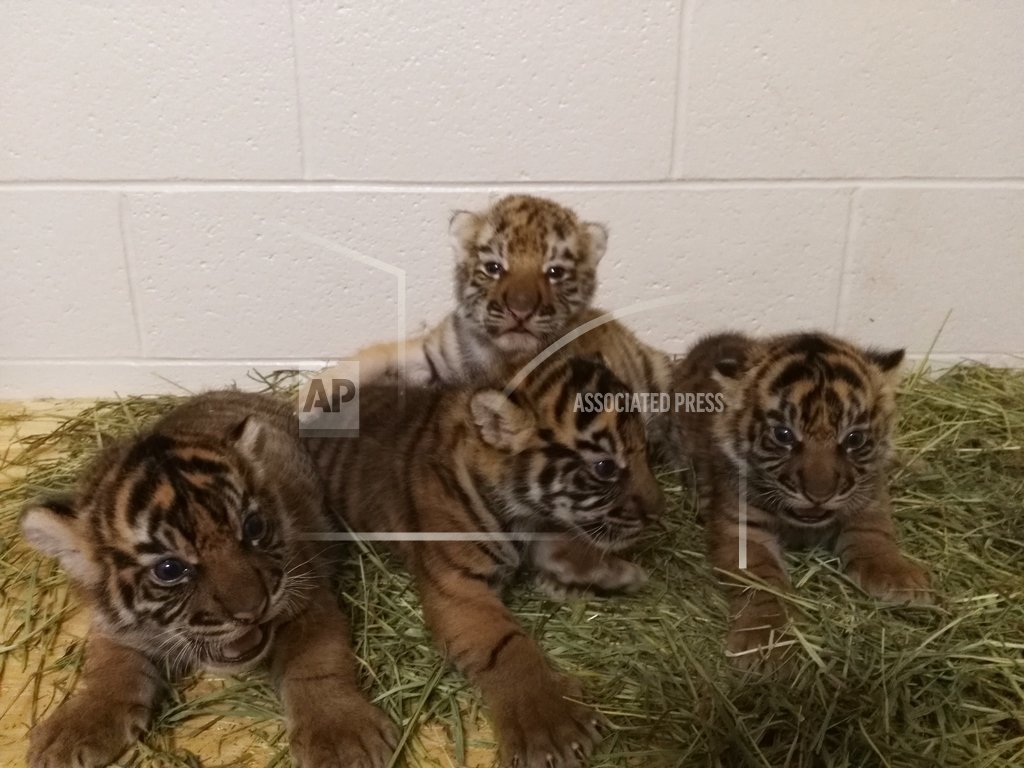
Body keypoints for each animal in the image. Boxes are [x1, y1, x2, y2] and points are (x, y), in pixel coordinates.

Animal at [21, 391, 396, 768]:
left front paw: (341, 736)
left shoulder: (307, 592)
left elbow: (316, 660)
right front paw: (73, 730)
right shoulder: (112, 626)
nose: (253, 611)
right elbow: (108, 667)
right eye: (169, 569)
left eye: (253, 528)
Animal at [302, 354, 665, 768]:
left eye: (647, 451)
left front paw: (614, 573)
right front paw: (551, 725)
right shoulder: (460, 588)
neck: (520, 513)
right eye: (605, 467)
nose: (659, 512)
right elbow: (509, 648)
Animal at [672, 331, 932, 669]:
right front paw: (765, 640)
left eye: (854, 439)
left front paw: (902, 579)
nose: (819, 495)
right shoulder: (742, 529)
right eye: (783, 435)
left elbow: (874, 538)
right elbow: (762, 581)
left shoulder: (868, 503)